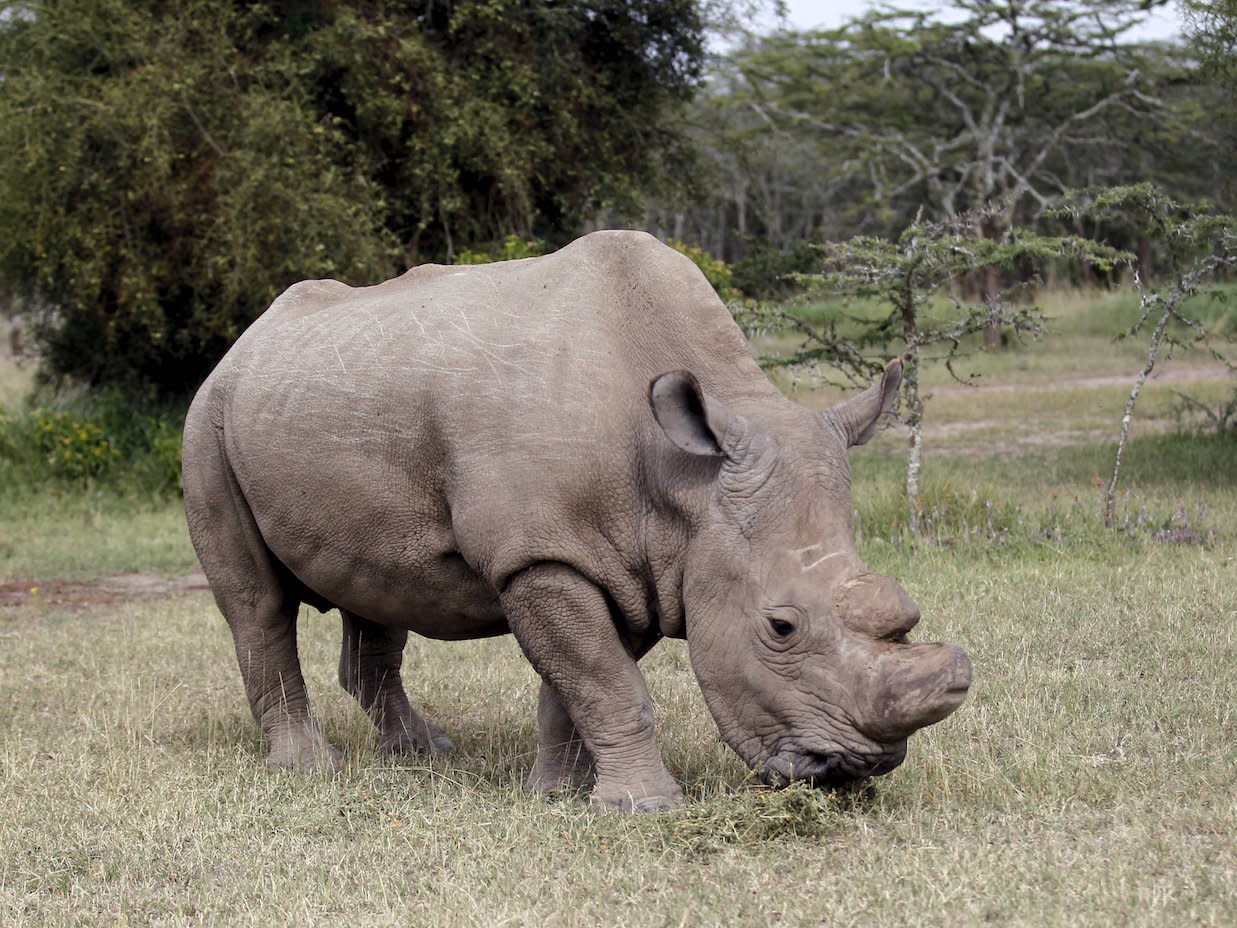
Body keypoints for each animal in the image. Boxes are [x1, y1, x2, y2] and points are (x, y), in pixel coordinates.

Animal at [183, 231, 969, 811]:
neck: (684, 479)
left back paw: (424, 751)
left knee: (377, 586)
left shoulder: (635, 560)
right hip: (208, 419)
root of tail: (245, 341)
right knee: (257, 604)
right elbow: (609, 682)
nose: (851, 771)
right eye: (780, 628)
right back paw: (310, 769)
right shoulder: (544, 555)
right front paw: (646, 808)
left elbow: (581, 683)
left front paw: (561, 793)